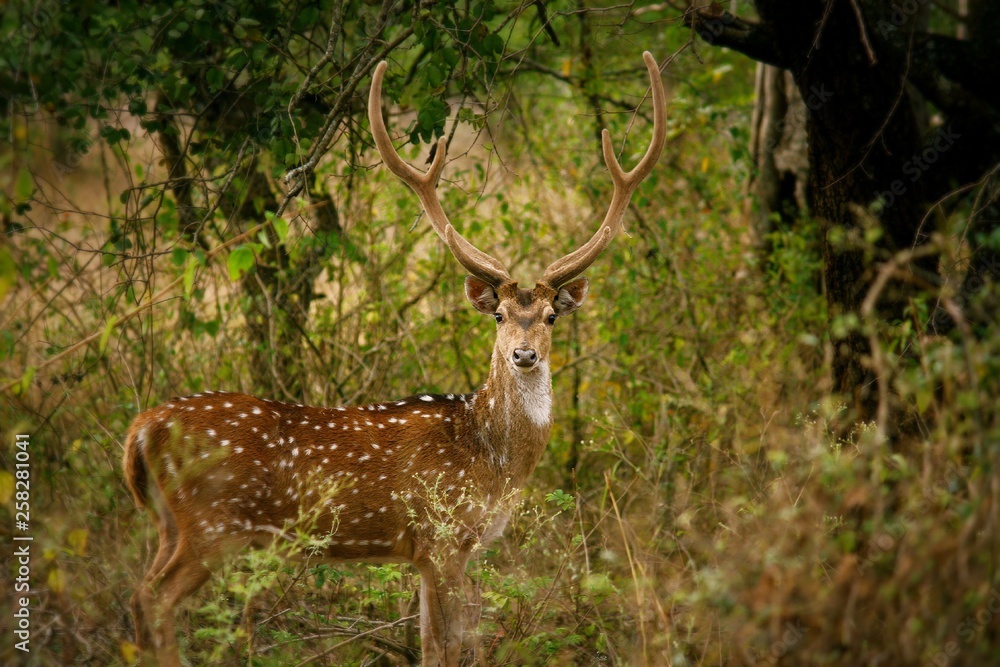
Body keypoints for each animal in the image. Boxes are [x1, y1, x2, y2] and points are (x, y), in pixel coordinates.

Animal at [122, 51, 665, 667]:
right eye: (499, 315)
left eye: (551, 316)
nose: (524, 354)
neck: (492, 459)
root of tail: (142, 430)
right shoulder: (444, 535)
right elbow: (451, 646)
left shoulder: (430, 552)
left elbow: (431, 644)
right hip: (213, 523)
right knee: (153, 599)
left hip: (171, 523)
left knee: (142, 595)